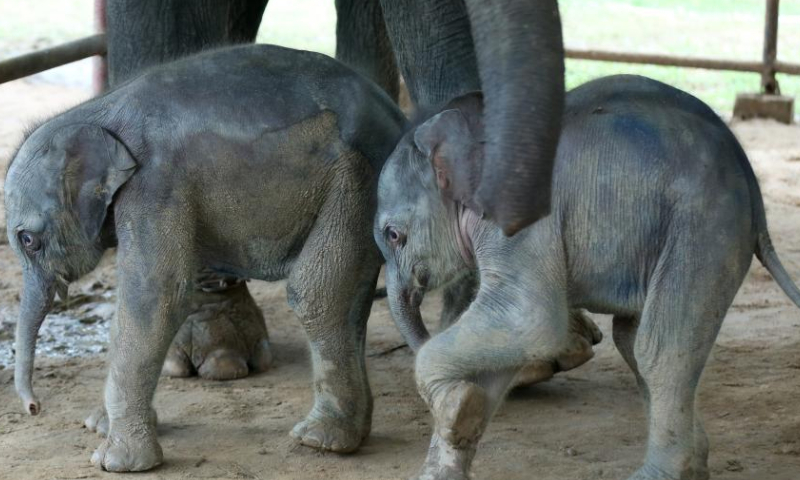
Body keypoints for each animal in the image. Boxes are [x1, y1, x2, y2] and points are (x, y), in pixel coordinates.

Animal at [3, 45, 406, 472]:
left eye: (28, 240)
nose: (34, 407)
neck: (93, 112)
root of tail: (398, 117)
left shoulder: (155, 187)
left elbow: (154, 297)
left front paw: (116, 462)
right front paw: (99, 426)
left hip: (358, 178)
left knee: (317, 293)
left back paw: (320, 440)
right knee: (349, 297)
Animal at [376, 76, 800, 480]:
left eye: (393, 235)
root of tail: (755, 194)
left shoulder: (521, 219)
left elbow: (526, 319)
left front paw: (457, 409)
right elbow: (508, 341)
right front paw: (456, 429)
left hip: (703, 227)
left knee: (660, 349)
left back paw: (658, 474)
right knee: (631, 339)